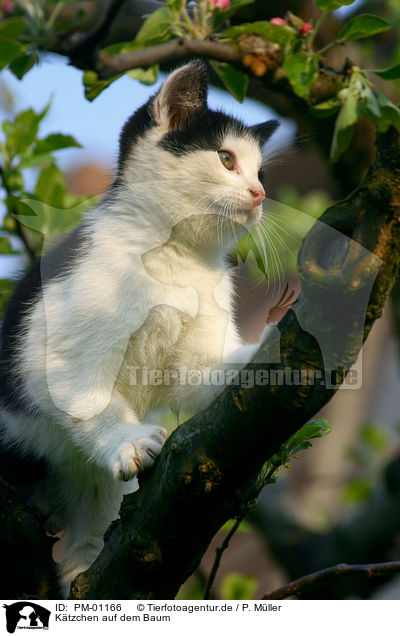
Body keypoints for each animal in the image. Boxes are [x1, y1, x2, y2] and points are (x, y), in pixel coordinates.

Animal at [0, 62, 278, 592]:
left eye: (260, 172)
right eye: (226, 158)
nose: (259, 195)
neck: (175, 256)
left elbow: (202, 380)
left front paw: (269, 345)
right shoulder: (58, 343)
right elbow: (87, 397)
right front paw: (127, 439)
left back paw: (82, 566)